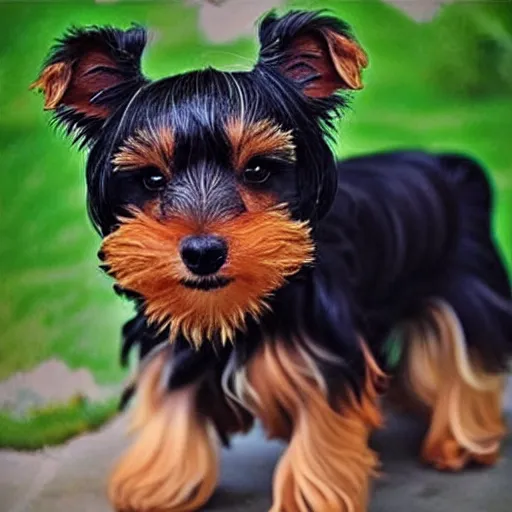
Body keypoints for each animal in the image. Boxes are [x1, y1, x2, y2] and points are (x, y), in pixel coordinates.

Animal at [33, 10, 512, 512]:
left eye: (259, 170)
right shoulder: (173, 332)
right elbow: (171, 398)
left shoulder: (326, 348)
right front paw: (159, 481)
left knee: (466, 353)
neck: (241, 303)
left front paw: (310, 496)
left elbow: (323, 423)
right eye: (151, 179)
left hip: (465, 282)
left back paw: (461, 441)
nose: (202, 253)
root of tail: (448, 163)